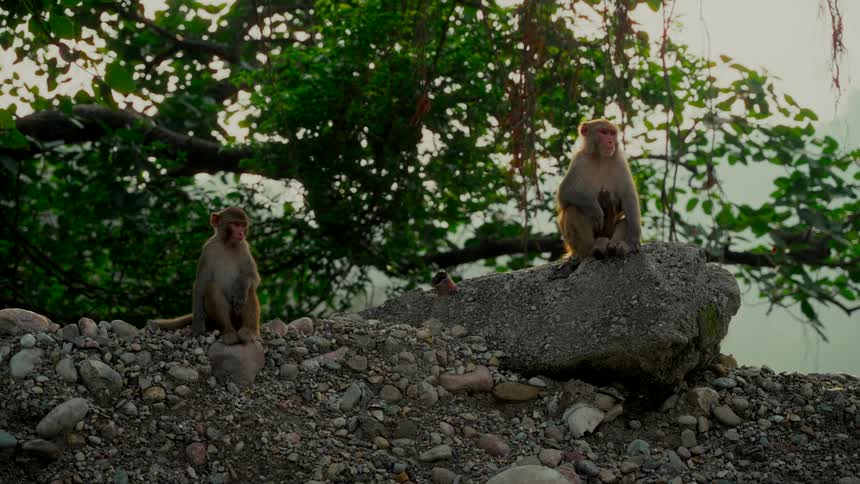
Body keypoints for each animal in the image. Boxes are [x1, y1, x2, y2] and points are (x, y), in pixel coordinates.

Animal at [150, 207, 261, 345]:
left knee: (249, 289)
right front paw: (197, 326)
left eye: (243, 225)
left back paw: (249, 331)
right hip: (213, 317)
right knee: (211, 287)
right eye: (235, 224)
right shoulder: (207, 250)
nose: (241, 233)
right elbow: (200, 284)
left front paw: (240, 289)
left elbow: (252, 277)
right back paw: (228, 332)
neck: (226, 244)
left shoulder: (244, 248)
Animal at [556, 119, 642, 259]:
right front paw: (595, 209)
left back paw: (616, 246)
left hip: (609, 231)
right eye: (603, 132)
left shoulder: (619, 160)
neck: (600, 157)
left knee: (625, 221)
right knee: (572, 211)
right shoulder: (579, 160)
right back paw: (593, 249)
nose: (610, 141)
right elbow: (565, 193)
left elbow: (628, 197)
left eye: (612, 133)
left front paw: (633, 241)